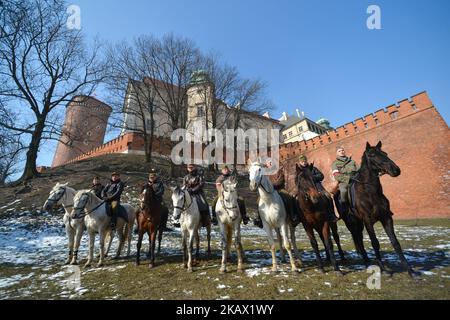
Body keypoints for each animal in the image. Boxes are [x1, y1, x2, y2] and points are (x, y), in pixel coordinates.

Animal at [336, 141, 420, 278]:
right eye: (372, 155)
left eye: (385, 153)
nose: (395, 170)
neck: (371, 192)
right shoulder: (367, 220)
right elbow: (375, 242)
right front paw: (383, 269)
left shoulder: (386, 218)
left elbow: (395, 243)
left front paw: (410, 270)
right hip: (352, 223)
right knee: (358, 239)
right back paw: (366, 261)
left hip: (359, 223)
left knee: (359, 239)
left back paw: (366, 260)